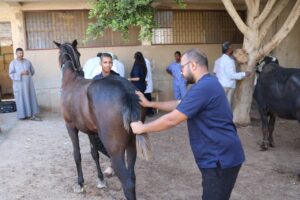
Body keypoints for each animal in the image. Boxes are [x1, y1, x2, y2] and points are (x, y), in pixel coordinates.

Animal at [54, 39, 151, 199]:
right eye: (79, 53)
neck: (71, 80)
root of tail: (127, 92)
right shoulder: (91, 131)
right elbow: (95, 154)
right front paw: (100, 179)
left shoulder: (70, 126)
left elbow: (77, 155)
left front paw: (80, 183)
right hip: (131, 146)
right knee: (132, 176)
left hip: (115, 150)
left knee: (128, 183)